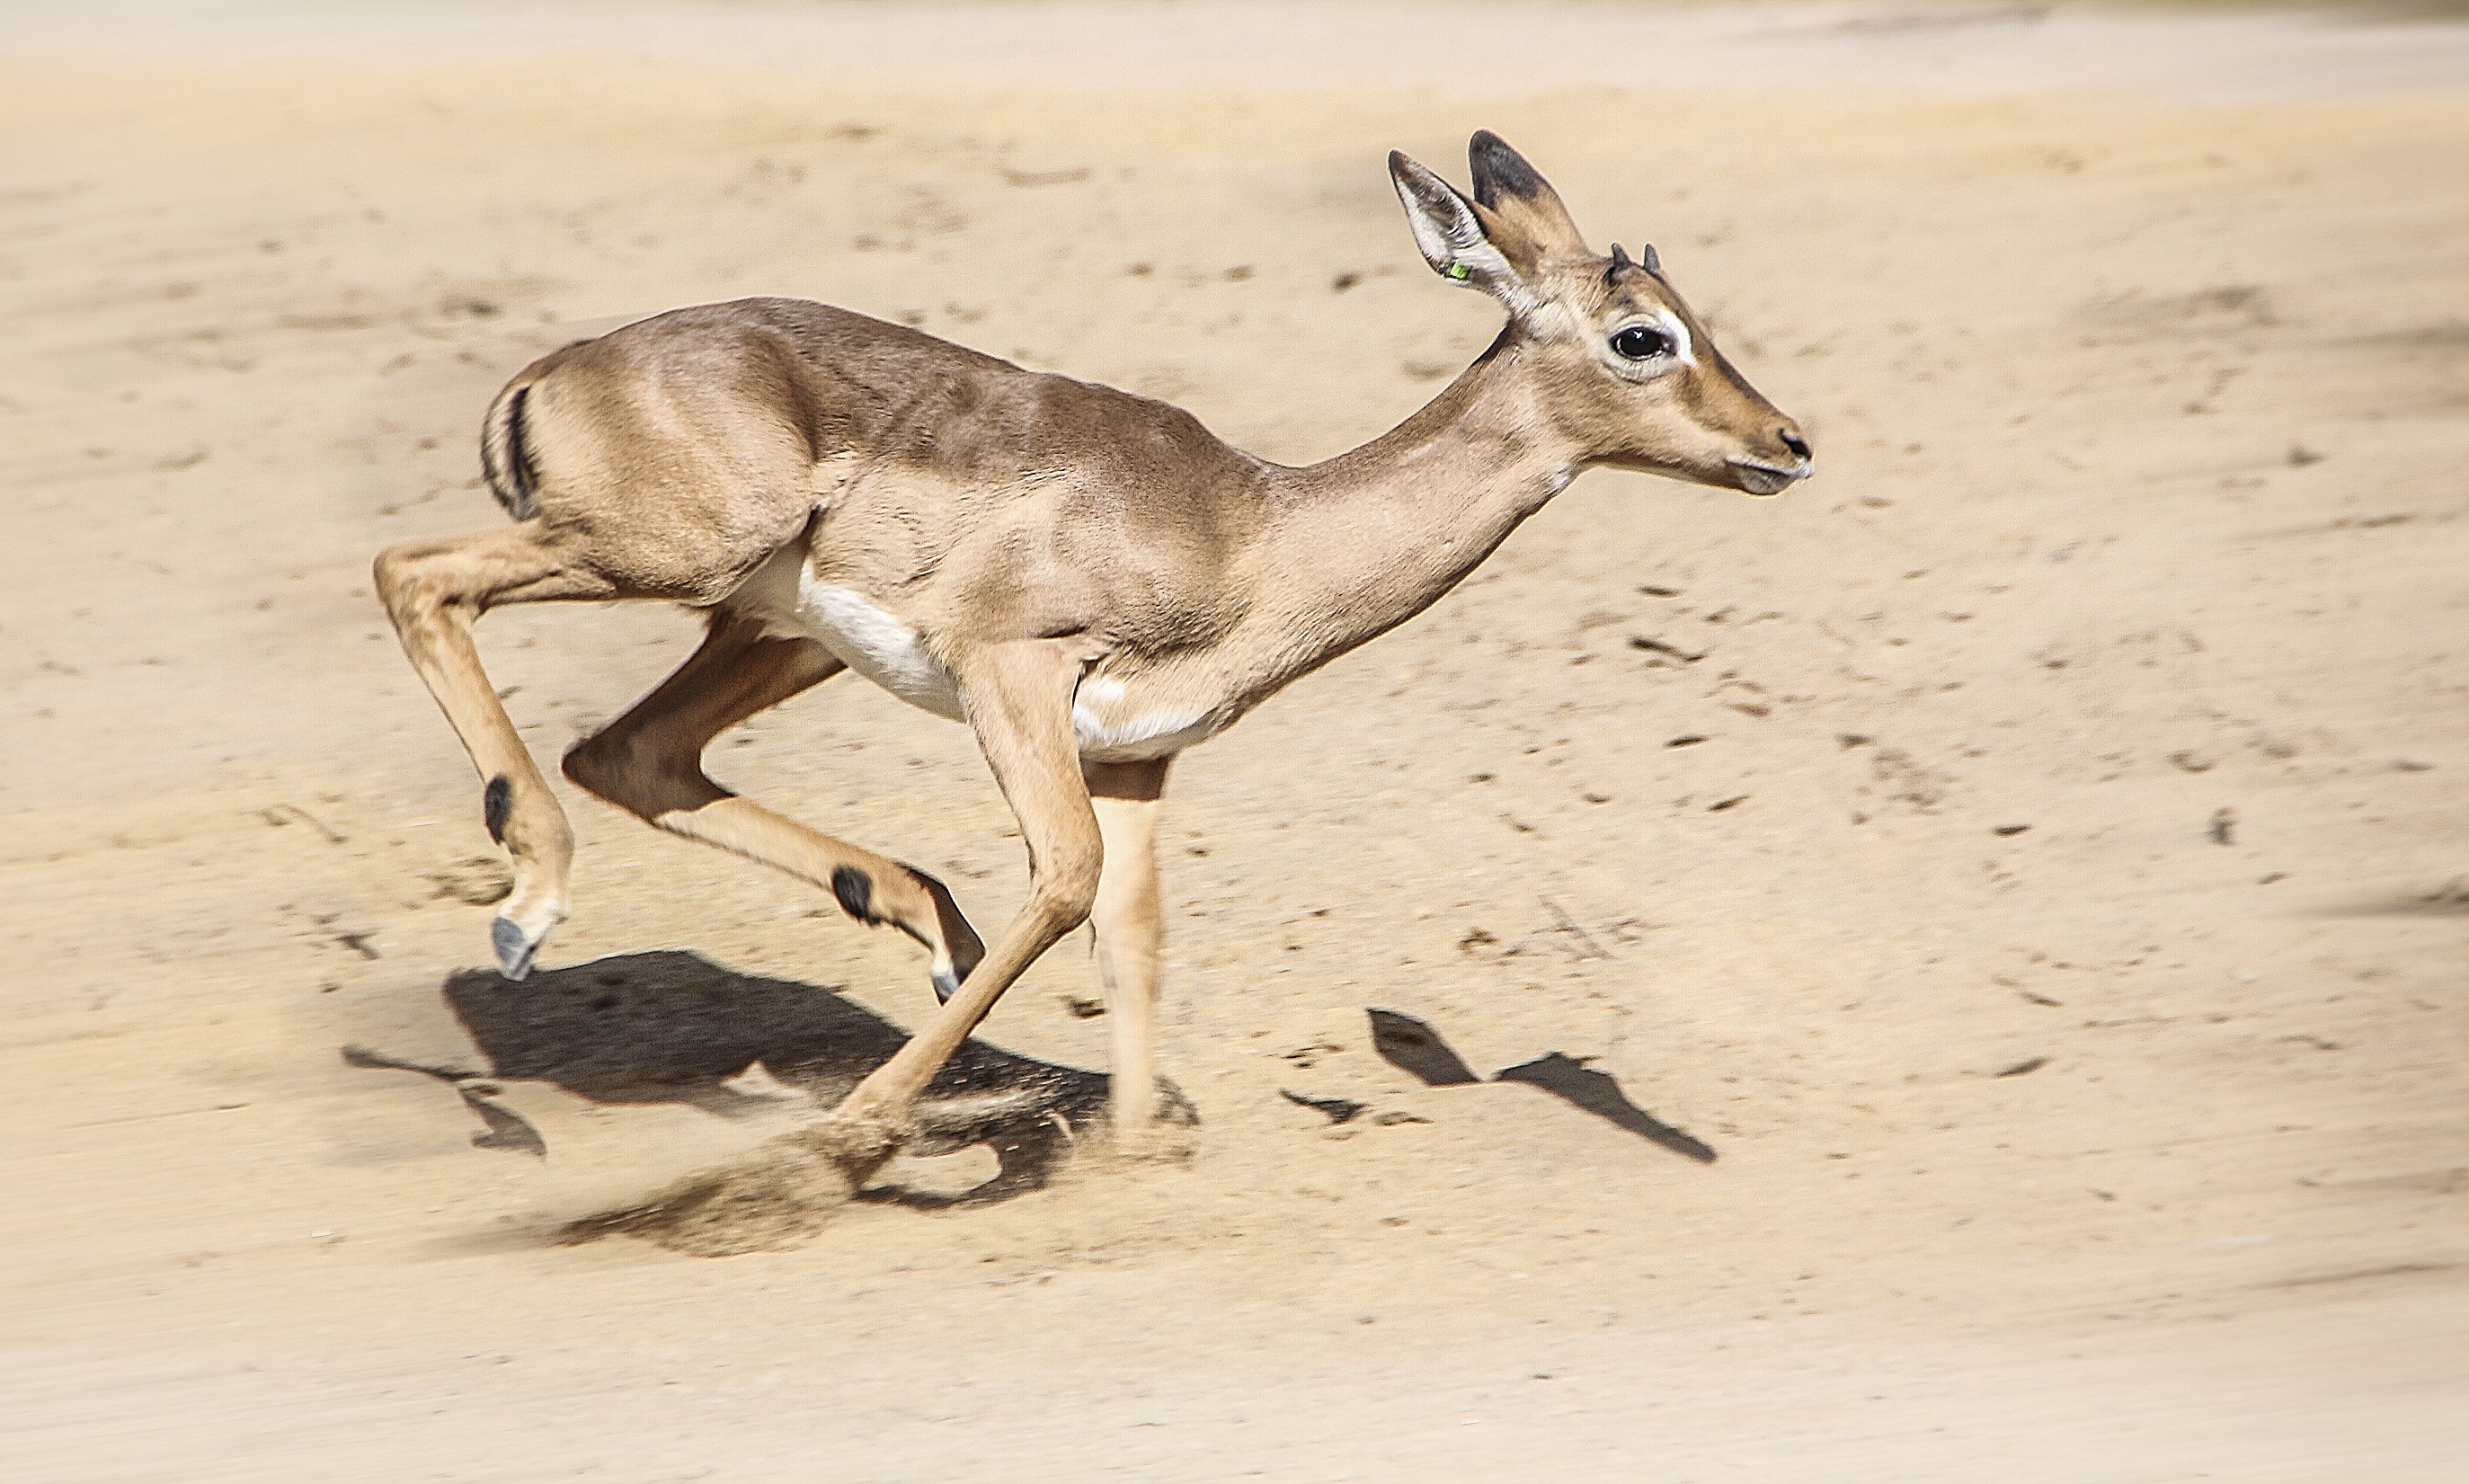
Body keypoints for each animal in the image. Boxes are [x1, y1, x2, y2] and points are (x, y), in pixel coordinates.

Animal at [370, 133, 1816, 1165]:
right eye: (1641, 335)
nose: (1788, 443)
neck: (1253, 529)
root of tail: (561, 368)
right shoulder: (1013, 671)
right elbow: (1063, 883)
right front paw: (861, 1120)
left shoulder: (1136, 757)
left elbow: (1130, 930)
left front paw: (1125, 1161)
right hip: (657, 562)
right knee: (415, 576)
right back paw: (529, 912)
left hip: (770, 630)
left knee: (631, 750)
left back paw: (907, 923)